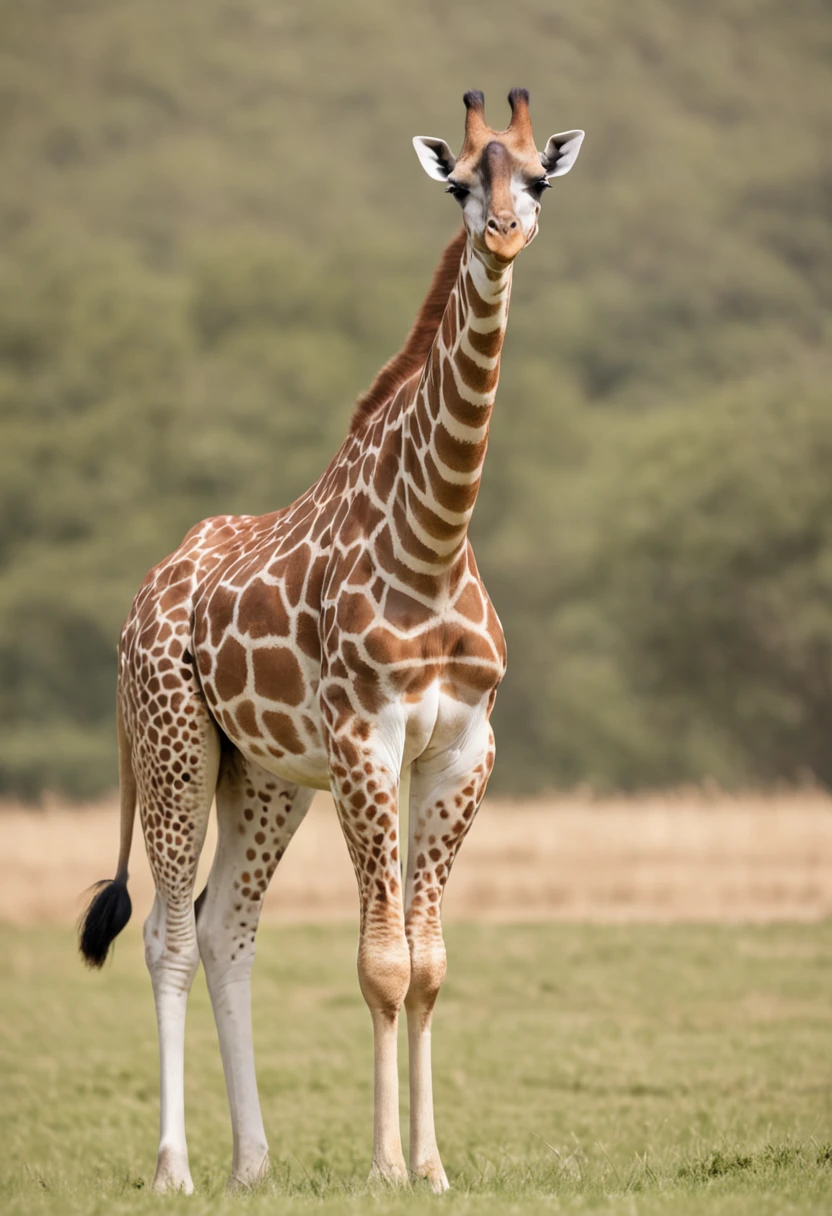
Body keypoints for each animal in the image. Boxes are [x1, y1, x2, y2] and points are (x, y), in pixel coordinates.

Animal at [77, 89, 583, 1191]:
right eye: (458, 183)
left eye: (536, 177)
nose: (502, 233)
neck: (435, 540)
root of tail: (140, 599)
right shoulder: (366, 739)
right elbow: (382, 961)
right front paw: (386, 1167)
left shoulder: (464, 748)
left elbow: (430, 964)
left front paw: (433, 1167)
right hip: (176, 747)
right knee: (167, 934)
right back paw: (176, 1168)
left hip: (263, 773)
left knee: (226, 926)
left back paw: (253, 1164)